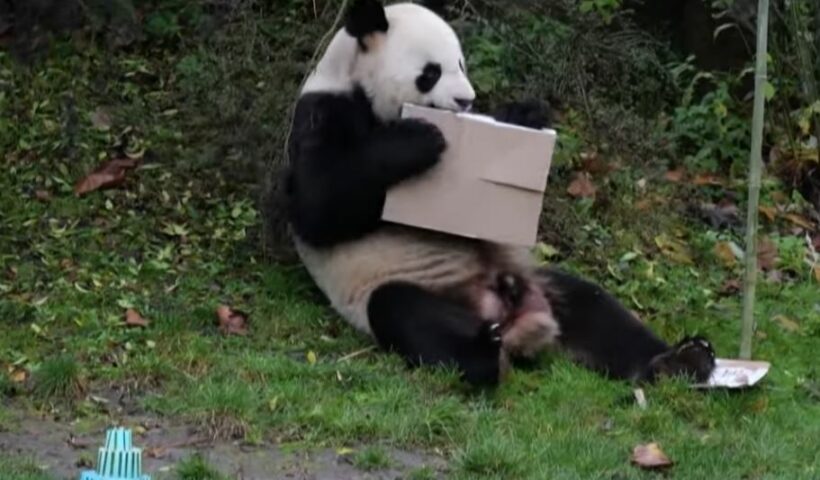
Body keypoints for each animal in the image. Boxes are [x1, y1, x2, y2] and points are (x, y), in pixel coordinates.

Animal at [280, 0, 716, 387]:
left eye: (461, 64)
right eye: (431, 72)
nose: (466, 99)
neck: (356, 81)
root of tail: (515, 319)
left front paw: (525, 114)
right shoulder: (324, 111)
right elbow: (318, 207)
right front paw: (418, 140)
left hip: (541, 281)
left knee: (595, 309)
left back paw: (680, 360)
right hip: (396, 284)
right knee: (405, 312)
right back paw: (482, 355)